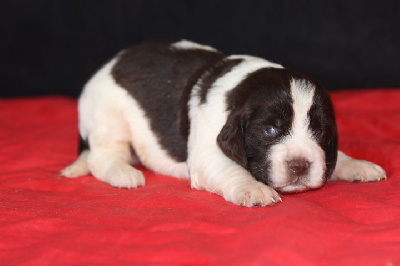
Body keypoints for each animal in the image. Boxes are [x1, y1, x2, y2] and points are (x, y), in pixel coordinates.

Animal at [61, 39, 386, 207]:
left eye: (318, 130)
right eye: (270, 130)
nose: (299, 166)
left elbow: (334, 157)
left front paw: (357, 165)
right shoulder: (208, 153)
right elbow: (231, 169)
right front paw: (254, 189)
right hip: (108, 118)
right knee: (101, 158)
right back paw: (124, 173)